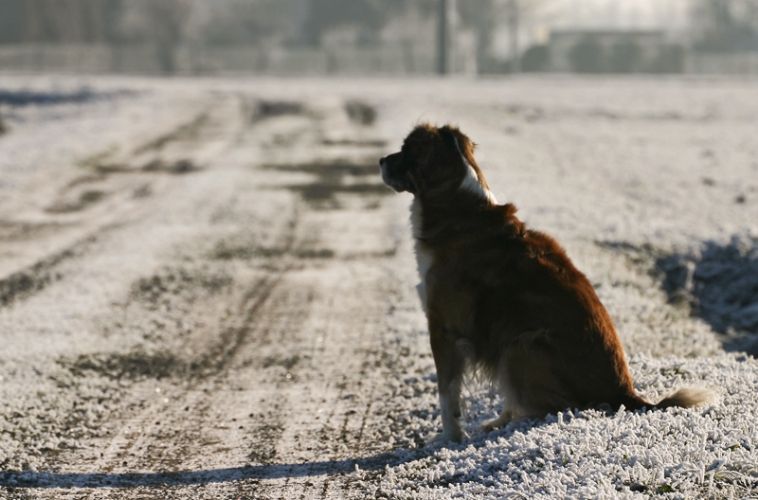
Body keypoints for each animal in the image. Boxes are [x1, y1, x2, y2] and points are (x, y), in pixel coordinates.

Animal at [382, 124, 716, 442]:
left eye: (406, 150)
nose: (381, 160)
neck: (457, 205)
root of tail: (625, 394)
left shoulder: (444, 328)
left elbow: (446, 392)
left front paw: (449, 438)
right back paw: (498, 423)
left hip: (521, 344)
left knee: (554, 406)